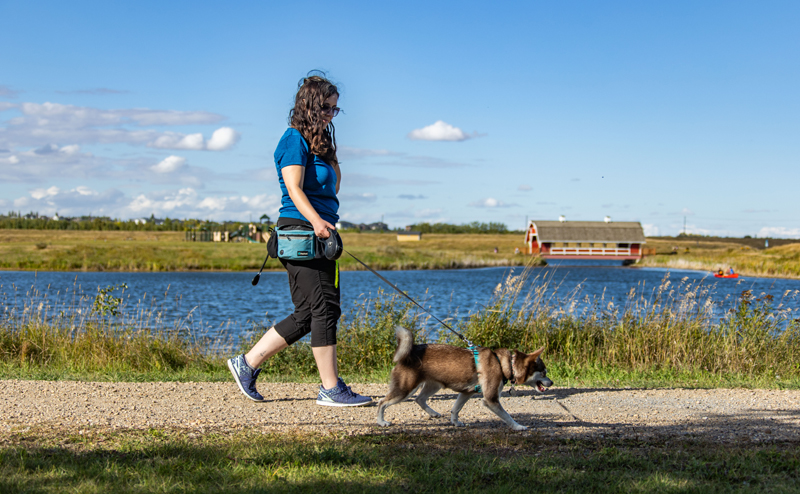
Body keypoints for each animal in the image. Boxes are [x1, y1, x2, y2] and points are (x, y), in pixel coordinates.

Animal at [376, 326, 552, 430]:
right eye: (543, 372)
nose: (551, 382)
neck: (504, 364)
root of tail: (410, 351)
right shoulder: (490, 399)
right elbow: (507, 416)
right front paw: (518, 426)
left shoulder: (467, 392)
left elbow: (455, 409)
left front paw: (455, 422)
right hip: (405, 389)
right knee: (382, 402)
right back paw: (381, 421)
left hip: (434, 385)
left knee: (419, 399)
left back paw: (433, 413)